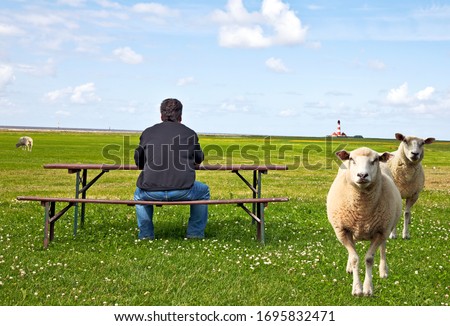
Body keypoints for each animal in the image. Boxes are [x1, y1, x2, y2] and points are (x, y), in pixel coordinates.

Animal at [326, 149, 402, 296]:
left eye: (375, 160)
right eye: (352, 159)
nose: (362, 175)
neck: (362, 211)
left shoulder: (381, 231)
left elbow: (369, 259)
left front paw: (368, 289)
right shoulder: (343, 231)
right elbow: (355, 258)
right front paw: (356, 289)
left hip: (387, 227)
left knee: (383, 248)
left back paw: (383, 271)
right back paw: (350, 267)